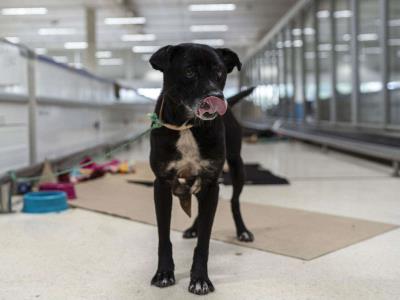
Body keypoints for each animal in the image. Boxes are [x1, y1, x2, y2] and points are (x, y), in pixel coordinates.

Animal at [148, 42, 255, 296]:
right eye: (189, 72)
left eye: (219, 72)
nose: (216, 97)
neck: (189, 126)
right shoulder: (162, 185)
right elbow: (163, 236)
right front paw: (164, 273)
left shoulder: (211, 183)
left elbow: (204, 241)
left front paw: (200, 279)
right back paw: (193, 228)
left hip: (237, 167)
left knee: (235, 202)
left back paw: (242, 231)